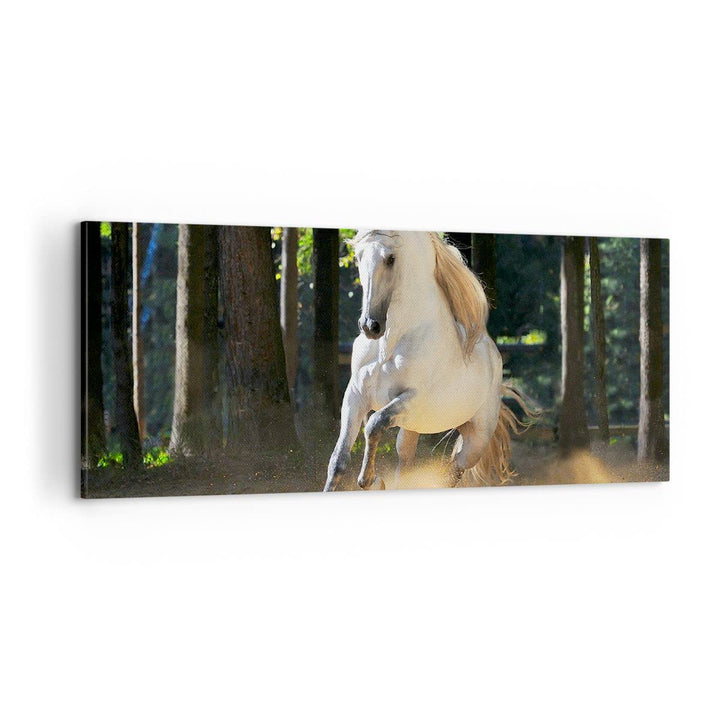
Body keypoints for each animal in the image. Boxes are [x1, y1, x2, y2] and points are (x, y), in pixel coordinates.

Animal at [323, 229, 530, 492]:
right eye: (359, 256)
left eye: (390, 258)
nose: (370, 326)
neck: (389, 345)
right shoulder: (355, 396)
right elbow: (338, 459)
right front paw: (370, 481)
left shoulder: (412, 399)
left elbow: (374, 424)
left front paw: (368, 479)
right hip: (412, 429)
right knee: (406, 460)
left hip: (475, 440)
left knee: (454, 470)